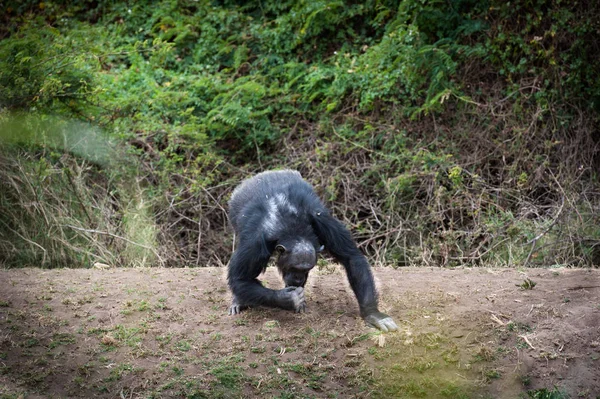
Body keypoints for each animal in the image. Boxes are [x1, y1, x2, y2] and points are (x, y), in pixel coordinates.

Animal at [225, 170, 398, 332]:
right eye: (294, 268)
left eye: (306, 269)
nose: (298, 278)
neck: (292, 228)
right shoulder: (255, 243)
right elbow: (240, 278)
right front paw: (288, 299)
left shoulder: (324, 222)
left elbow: (351, 257)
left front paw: (373, 314)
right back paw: (239, 301)